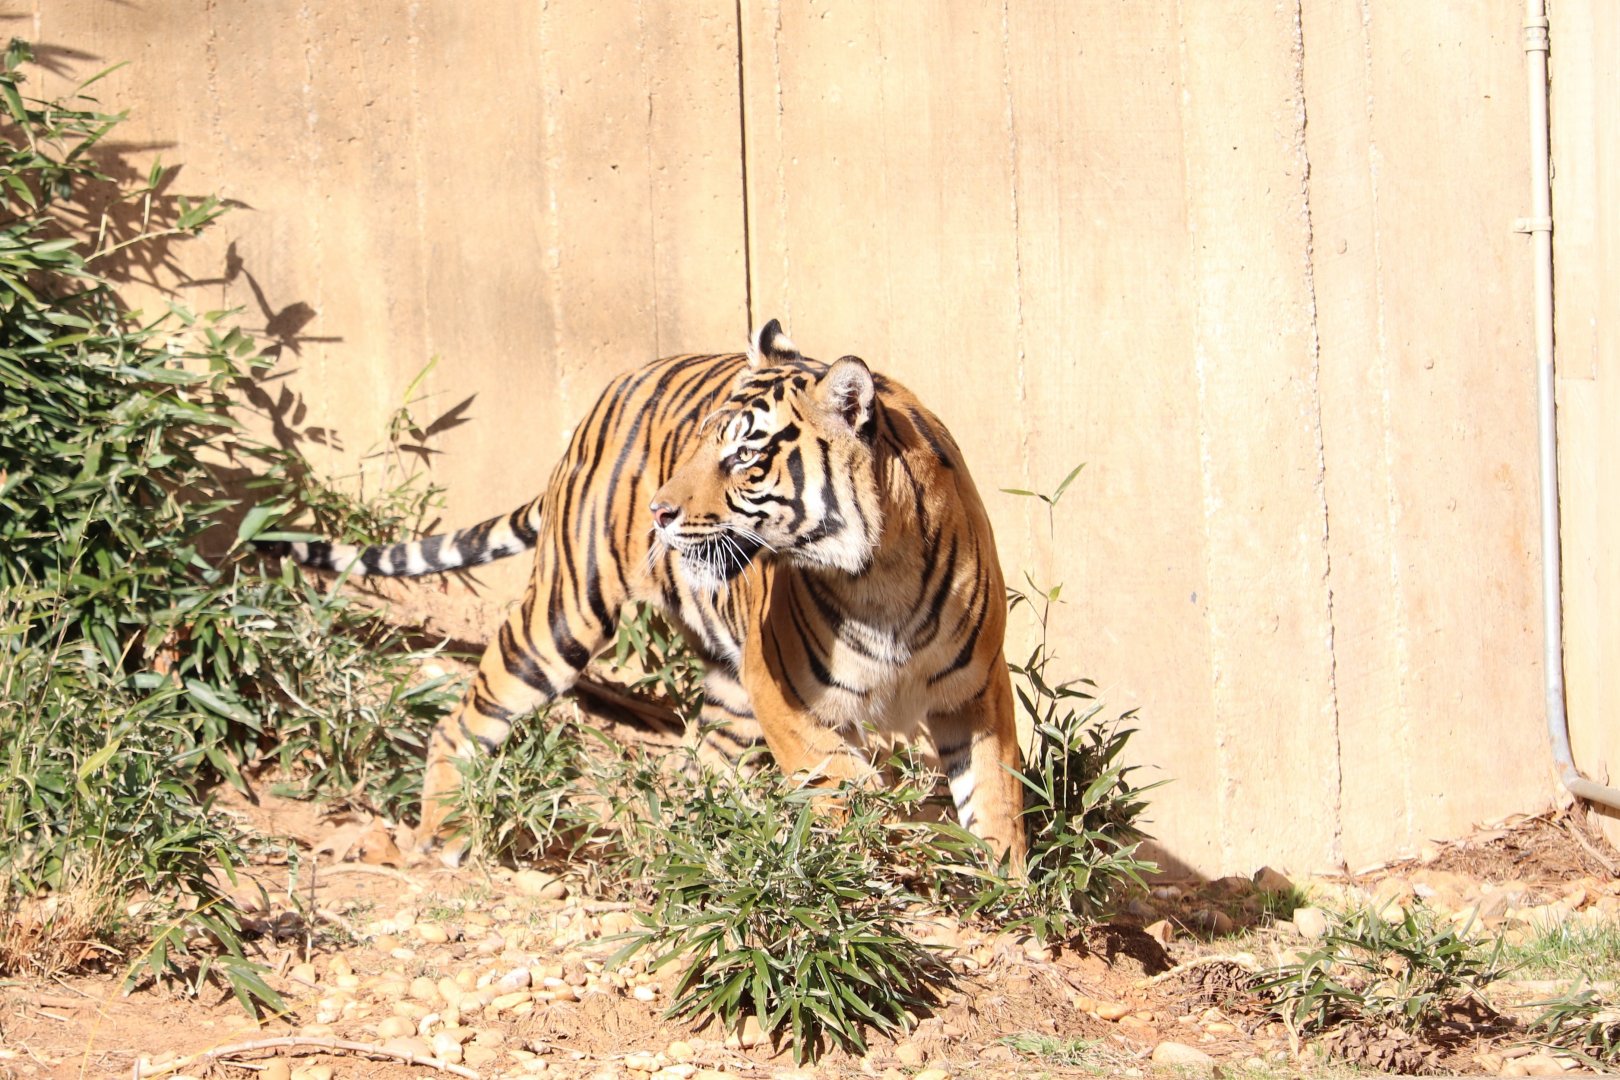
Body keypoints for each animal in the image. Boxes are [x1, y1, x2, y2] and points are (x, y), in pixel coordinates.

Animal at [265, 321, 1026, 868]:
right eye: (700, 447)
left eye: (744, 457)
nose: (661, 511)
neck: (877, 573)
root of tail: (612, 389)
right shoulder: (786, 693)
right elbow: (842, 782)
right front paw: (879, 849)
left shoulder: (977, 691)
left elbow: (996, 798)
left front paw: (1005, 893)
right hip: (563, 614)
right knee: (464, 719)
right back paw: (441, 835)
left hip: (726, 686)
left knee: (705, 764)